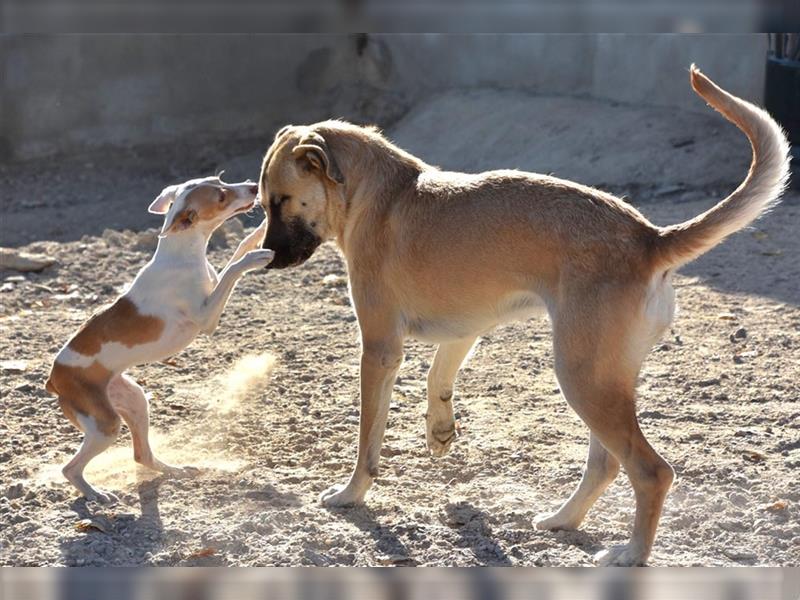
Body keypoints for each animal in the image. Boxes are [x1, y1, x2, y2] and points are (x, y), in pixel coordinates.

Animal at [47, 175, 274, 502]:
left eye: (220, 179)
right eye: (220, 196)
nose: (254, 187)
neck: (180, 254)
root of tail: (54, 378)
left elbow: (236, 252)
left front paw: (258, 234)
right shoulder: (207, 319)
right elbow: (234, 268)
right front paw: (256, 257)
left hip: (134, 401)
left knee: (142, 455)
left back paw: (176, 471)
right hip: (105, 425)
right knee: (70, 468)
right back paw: (96, 494)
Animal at [256, 67, 788, 568]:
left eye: (279, 201)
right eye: (262, 203)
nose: (266, 259)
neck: (375, 191)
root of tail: (649, 238)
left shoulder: (381, 347)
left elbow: (368, 437)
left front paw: (351, 493)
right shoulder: (464, 329)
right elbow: (437, 377)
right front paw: (440, 431)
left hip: (582, 378)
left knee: (651, 471)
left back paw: (632, 553)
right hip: (602, 381)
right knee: (606, 465)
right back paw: (563, 520)